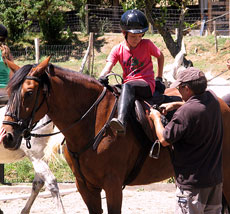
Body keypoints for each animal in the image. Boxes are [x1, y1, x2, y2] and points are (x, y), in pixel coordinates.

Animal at [1, 57, 230, 214]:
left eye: (29, 93)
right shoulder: (85, 186)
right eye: (10, 93)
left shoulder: (112, 185)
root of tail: (220, 102)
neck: (92, 124)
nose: (7, 136)